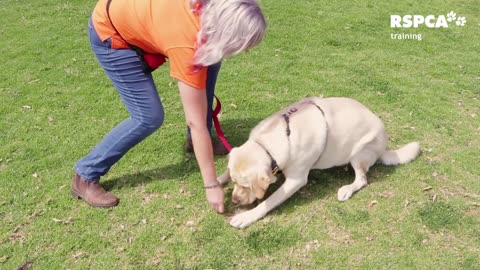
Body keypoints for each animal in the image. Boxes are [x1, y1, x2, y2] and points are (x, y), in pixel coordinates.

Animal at [218, 97, 420, 228]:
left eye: (246, 186)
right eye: (234, 182)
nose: (235, 201)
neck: (267, 143)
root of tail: (384, 147)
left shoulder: (296, 180)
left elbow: (268, 202)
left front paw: (247, 217)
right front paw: (217, 182)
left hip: (359, 153)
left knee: (362, 179)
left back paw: (347, 189)